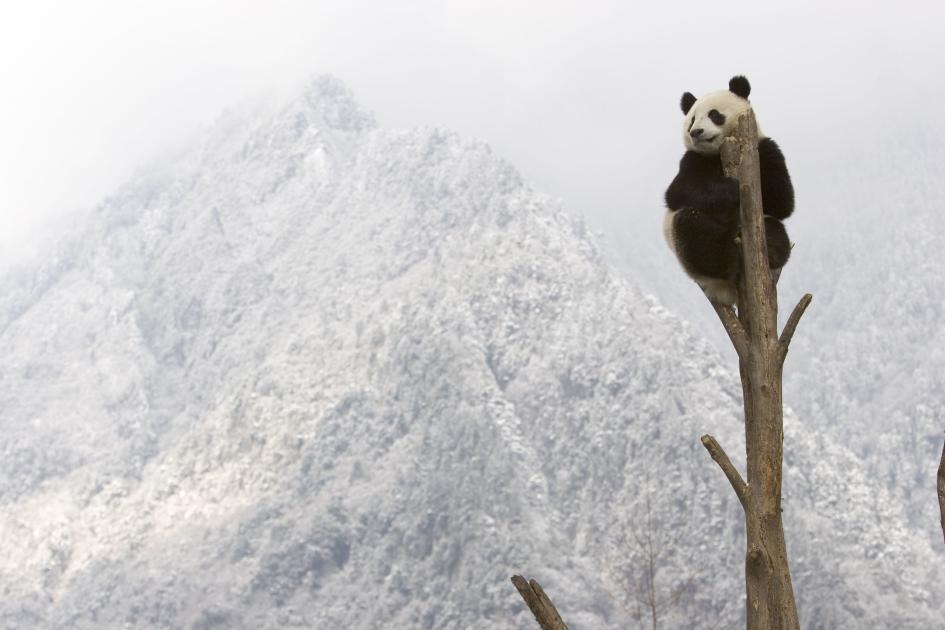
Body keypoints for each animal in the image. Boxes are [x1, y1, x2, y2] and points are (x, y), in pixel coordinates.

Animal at [660, 74, 792, 306]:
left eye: (714, 114)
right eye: (692, 119)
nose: (696, 132)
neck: (717, 153)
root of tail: (725, 292)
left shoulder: (764, 147)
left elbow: (782, 201)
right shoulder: (693, 160)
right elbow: (679, 192)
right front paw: (730, 189)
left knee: (775, 229)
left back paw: (770, 246)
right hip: (685, 250)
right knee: (693, 231)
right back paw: (727, 257)